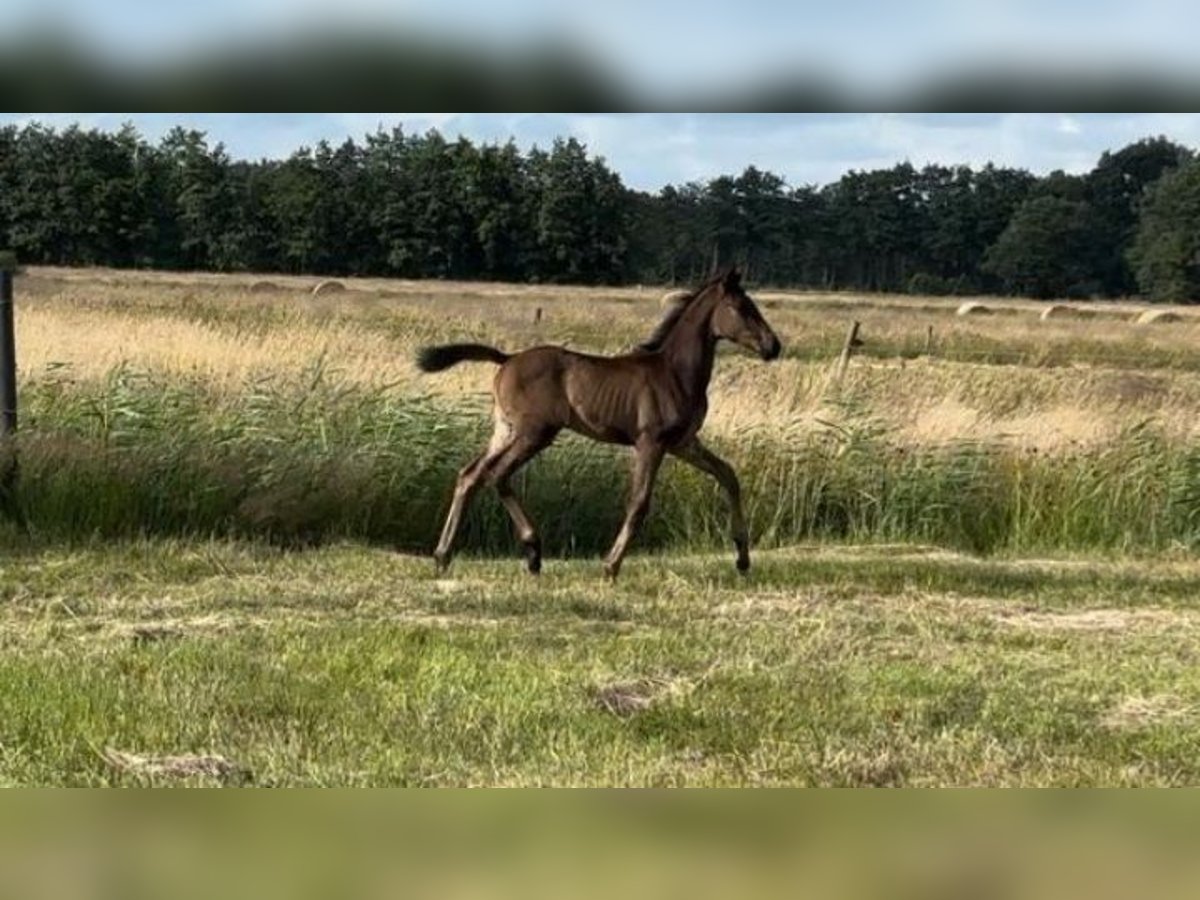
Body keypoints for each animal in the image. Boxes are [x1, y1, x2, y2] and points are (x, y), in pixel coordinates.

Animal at [417, 267, 782, 580]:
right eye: (741, 308)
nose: (773, 347)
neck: (675, 372)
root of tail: (507, 359)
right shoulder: (651, 442)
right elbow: (639, 502)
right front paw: (610, 565)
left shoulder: (683, 442)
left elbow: (728, 475)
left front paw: (743, 558)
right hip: (534, 433)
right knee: (498, 475)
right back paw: (532, 552)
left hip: (506, 431)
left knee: (471, 474)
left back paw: (443, 556)